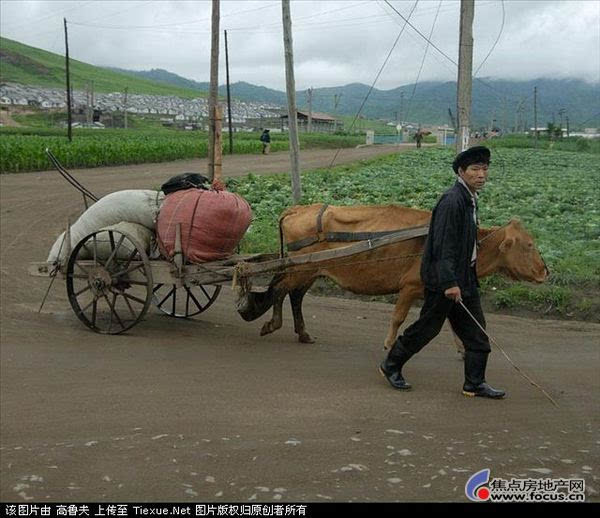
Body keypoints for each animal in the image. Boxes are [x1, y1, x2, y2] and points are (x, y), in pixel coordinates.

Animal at [236, 204, 548, 350]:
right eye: (529, 244)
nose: (546, 271)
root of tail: (298, 208)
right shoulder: (410, 287)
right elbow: (398, 318)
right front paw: (388, 344)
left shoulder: (443, 291)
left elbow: (456, 323)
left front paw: (463, 348)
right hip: (301, 268)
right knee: (280, 289)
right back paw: (272, 324)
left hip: (309, 270)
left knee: (293, 294)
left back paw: (302, 333)